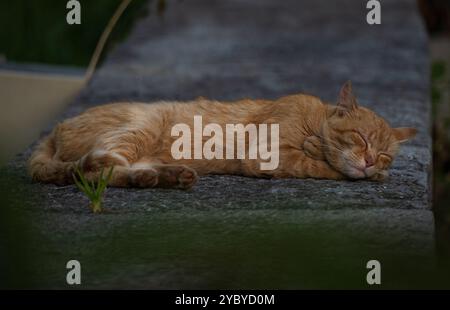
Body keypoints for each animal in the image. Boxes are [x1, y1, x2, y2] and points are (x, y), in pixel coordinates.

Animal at [27, 81, 414, 189]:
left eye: (384, 154)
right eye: (361, 138)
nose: (370, 161)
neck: (313, 115)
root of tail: (55, 128)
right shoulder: (268, 153)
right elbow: (324, 166)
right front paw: (319, 149)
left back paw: (167, 176)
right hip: (137, 128)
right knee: (96, 170)